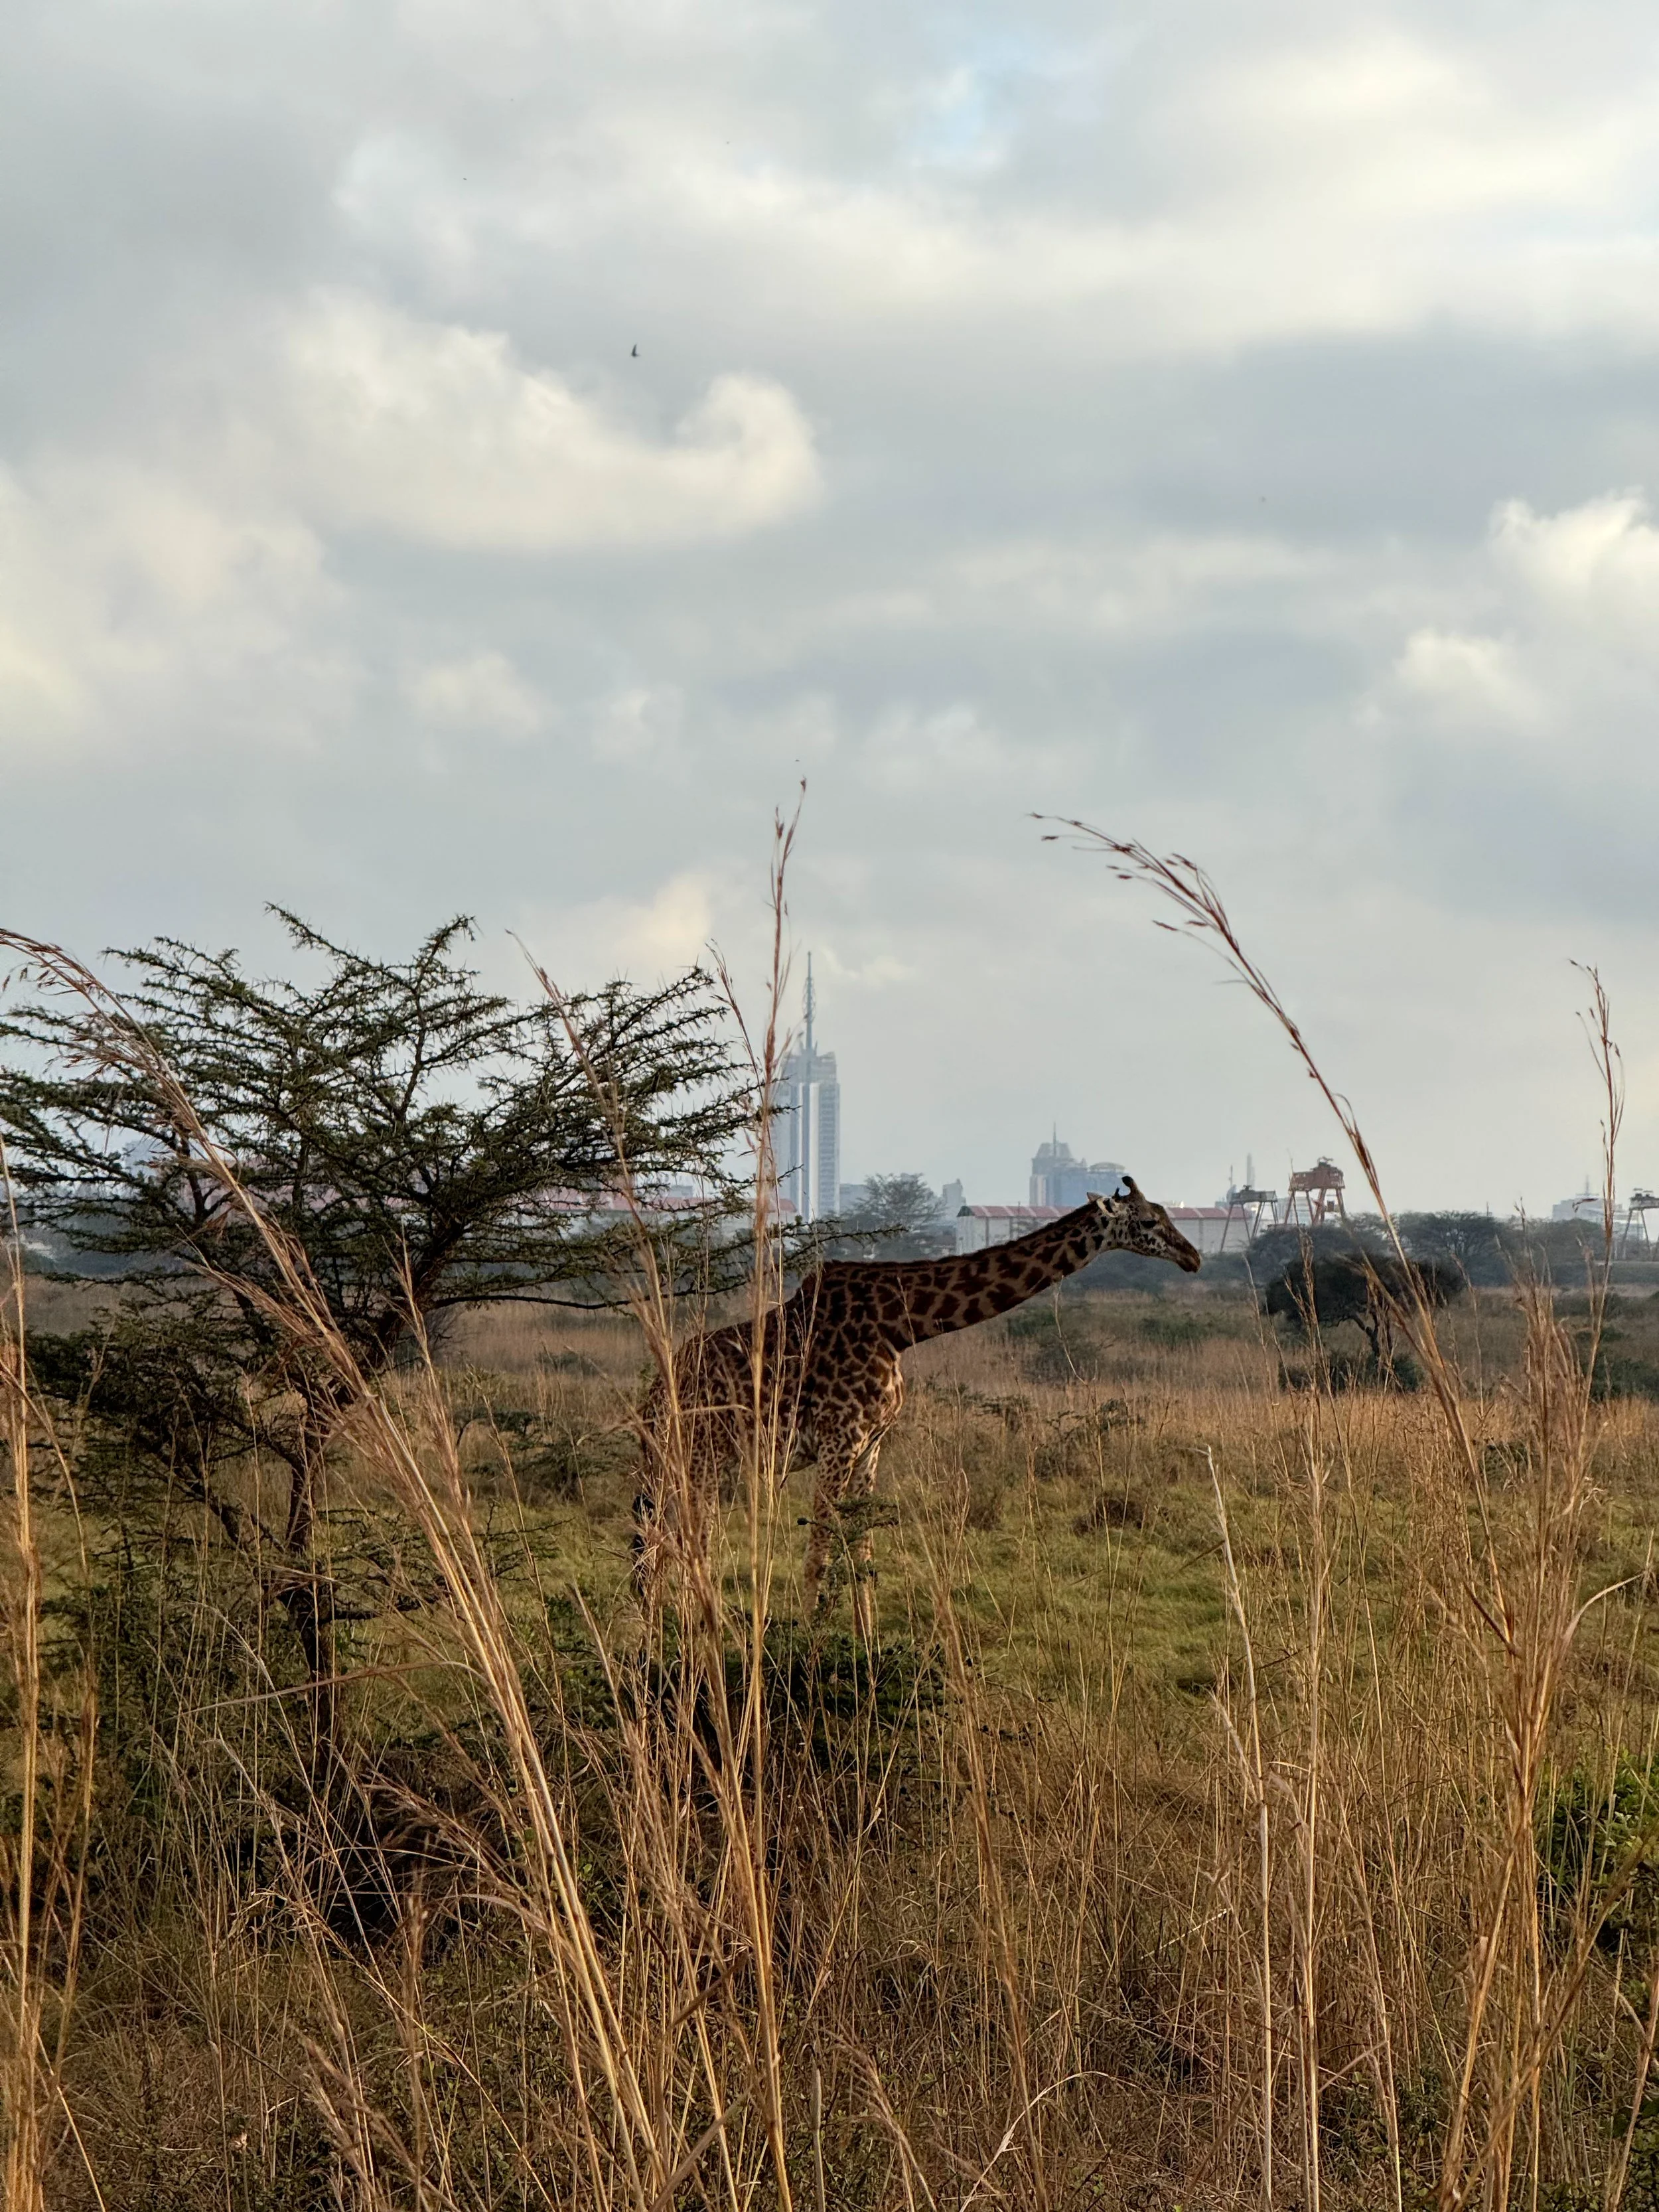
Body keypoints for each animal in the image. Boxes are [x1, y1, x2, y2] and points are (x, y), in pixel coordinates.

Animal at [636, 1177, 1202, 1612]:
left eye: (1167, 1215)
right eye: (1149, 1222)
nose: (1193, 1255)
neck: (900, 1326)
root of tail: (650, 1399)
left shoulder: (869, 1445)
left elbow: (861, 1557)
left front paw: (863, 1654)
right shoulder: (839, 1440)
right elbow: (819, 1555)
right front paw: (807, 1651)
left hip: (695, 1462)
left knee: (664, 1546)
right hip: (698, 1458)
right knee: (678, 1545)